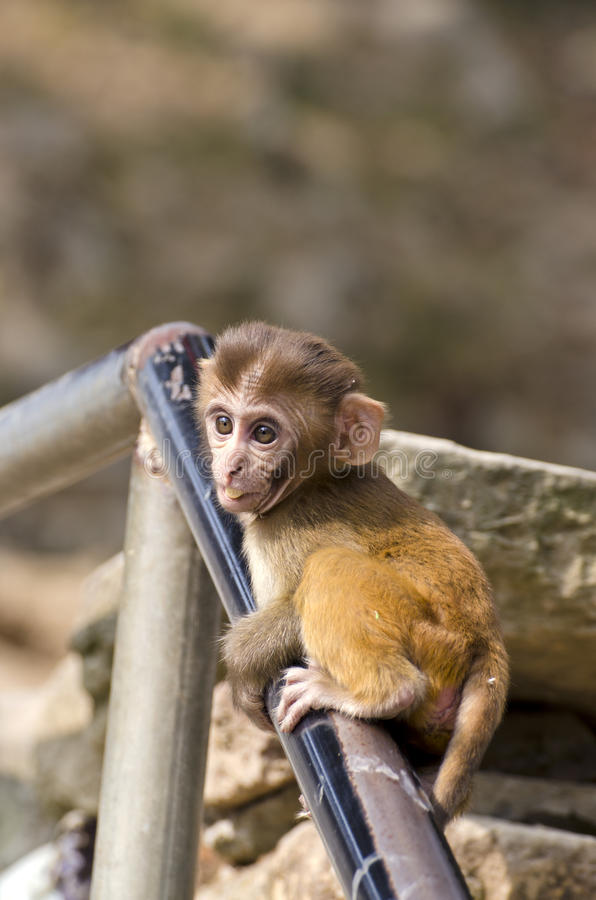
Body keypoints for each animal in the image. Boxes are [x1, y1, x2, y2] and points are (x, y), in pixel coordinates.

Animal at [196, 320, 508, 828]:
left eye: (263, 433)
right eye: (223, 424)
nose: (231, 466)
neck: (309, 484)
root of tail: (487, 639)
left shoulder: (296, 530)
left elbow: (294, 603)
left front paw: (241, 667)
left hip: (432, 637)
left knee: (332, 568)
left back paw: (380, 694)